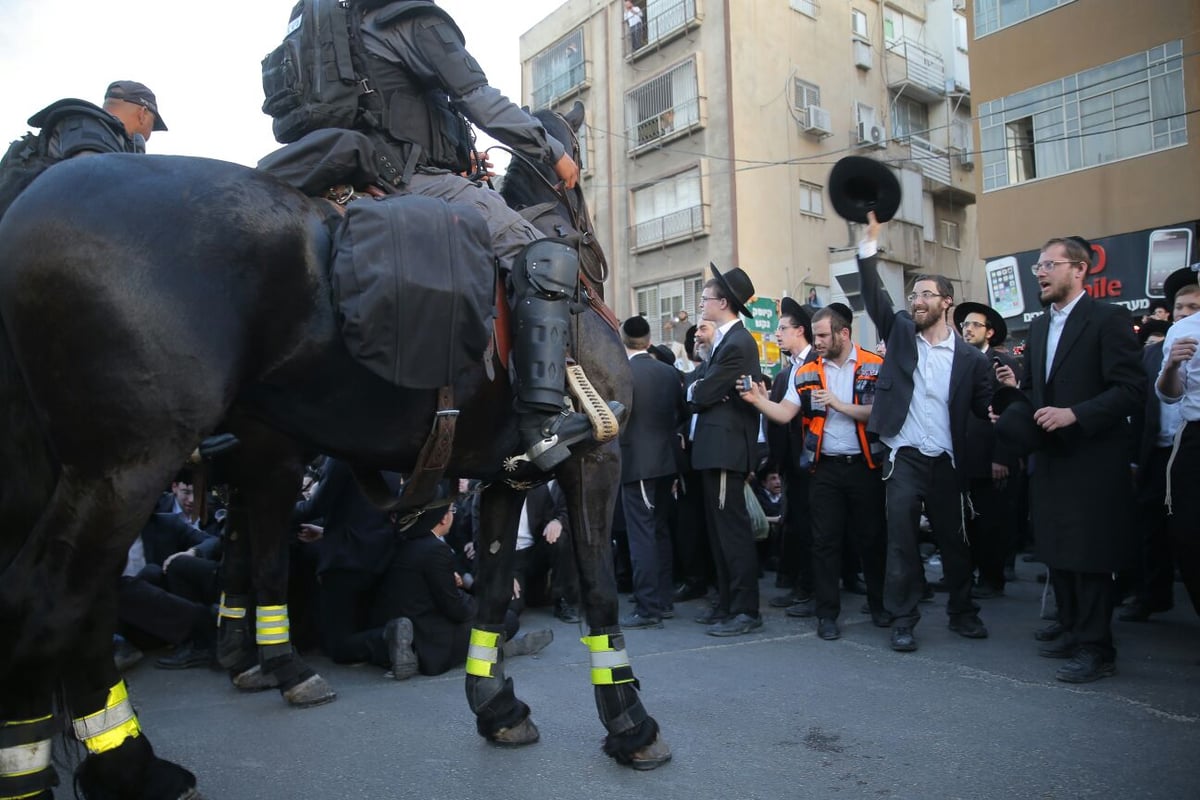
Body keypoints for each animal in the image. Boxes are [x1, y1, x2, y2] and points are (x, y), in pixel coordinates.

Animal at [0, 107, 672, 800]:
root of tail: (33, 198)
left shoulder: (500, 480)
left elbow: (490, 586)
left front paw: (497, 706)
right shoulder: (594, 459)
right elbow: (597, 587)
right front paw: (629, 723)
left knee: (83, 607)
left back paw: (127, 763)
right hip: (125, 466)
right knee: (48, 604)